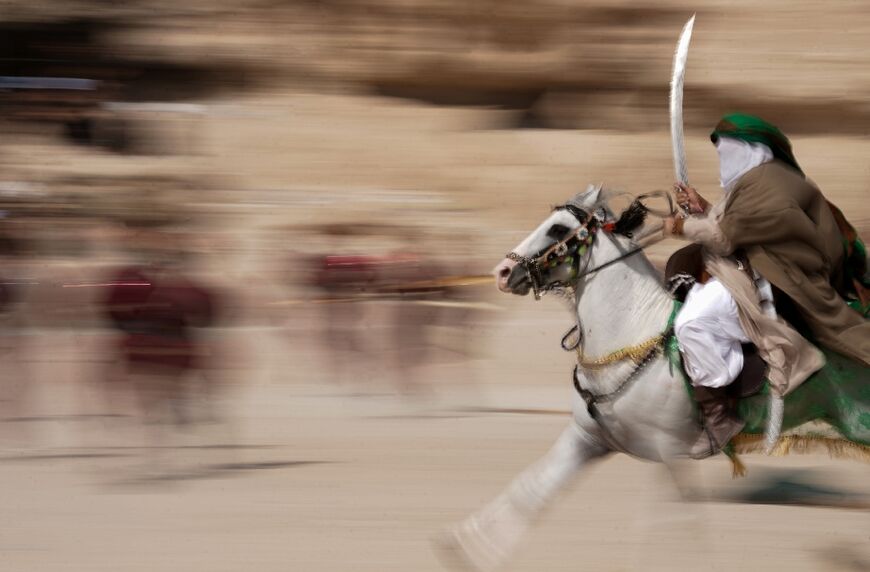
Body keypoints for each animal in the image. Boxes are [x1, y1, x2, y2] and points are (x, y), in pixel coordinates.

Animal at [440, 185, 704, 568]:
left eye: (557, 228)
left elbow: (676, 524)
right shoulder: (587, 438)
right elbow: (532, 489)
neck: (635, 333)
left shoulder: (671, 451)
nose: (501, 272)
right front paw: (468, 544)